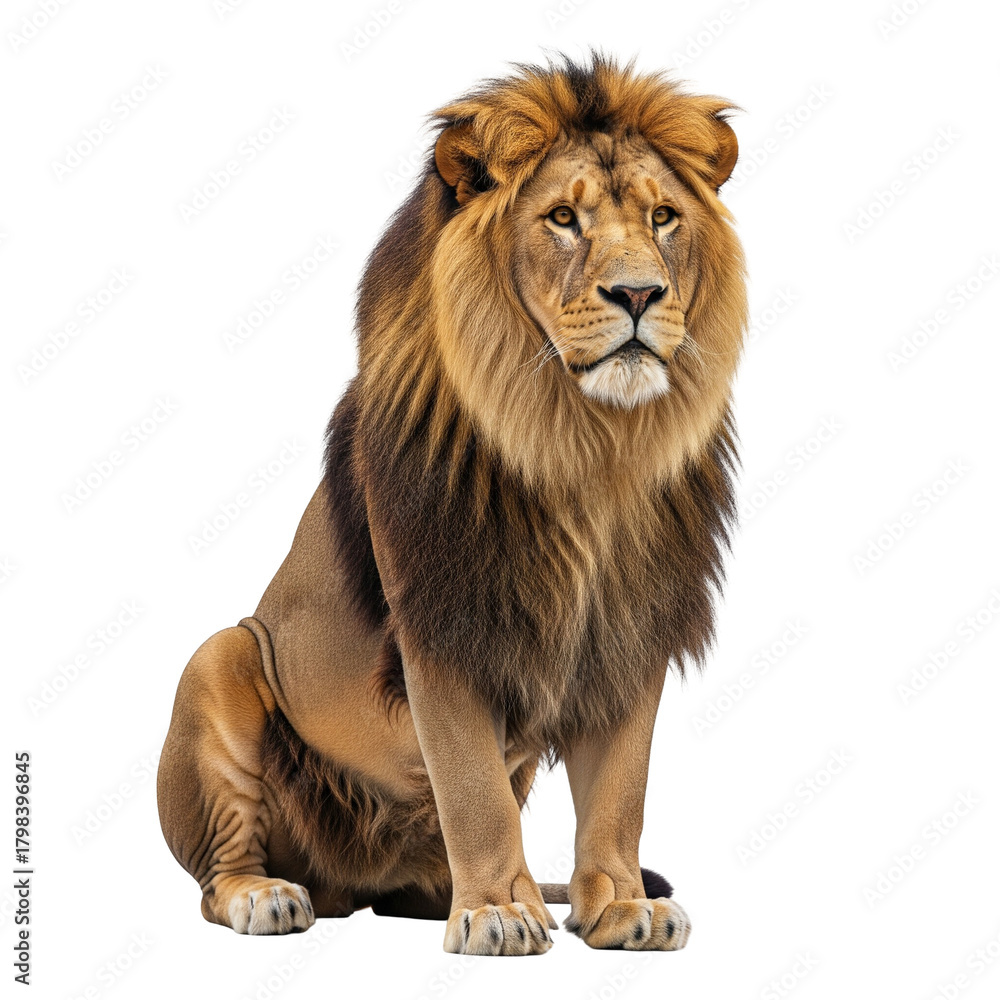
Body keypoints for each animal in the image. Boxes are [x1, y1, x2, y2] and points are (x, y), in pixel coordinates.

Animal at [157, 53, 746, 955]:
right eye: (563, 218)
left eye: (664, 217)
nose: (641, 294)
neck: (589, 449)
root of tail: (353, 889)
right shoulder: (443, 621)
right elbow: (472, 787)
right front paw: (499, 911)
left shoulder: (632, 627)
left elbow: (620, 788)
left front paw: (619, 906)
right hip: (219, 656)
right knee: (217, 874)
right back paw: (269, 895)